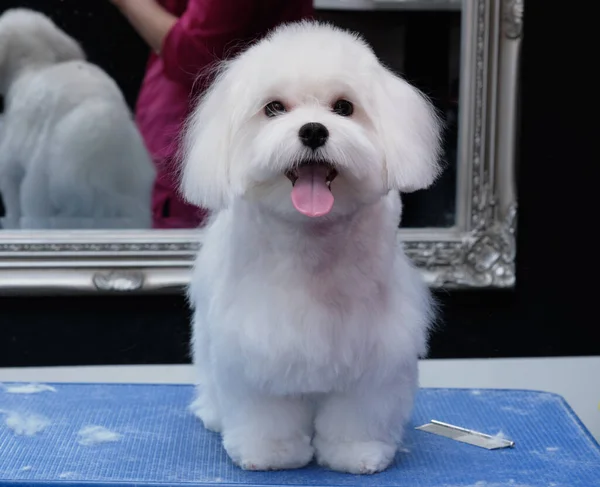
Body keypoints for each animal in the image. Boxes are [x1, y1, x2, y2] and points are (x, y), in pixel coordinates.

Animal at [0, 9, 157, 231]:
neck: (32, 65)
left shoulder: (11, 160)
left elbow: (12, 200)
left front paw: (11, 224)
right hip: (131, 185)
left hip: (41, 173)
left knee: (36, 208)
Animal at [185, 21, 442, 474]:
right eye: (273, 108)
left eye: (343, 107)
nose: (313, 130)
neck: (313, 240)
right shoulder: (257, 347)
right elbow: (266, 411)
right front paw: (270, 453)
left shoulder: (376, 355)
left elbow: (357, 414)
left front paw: (356, 453)